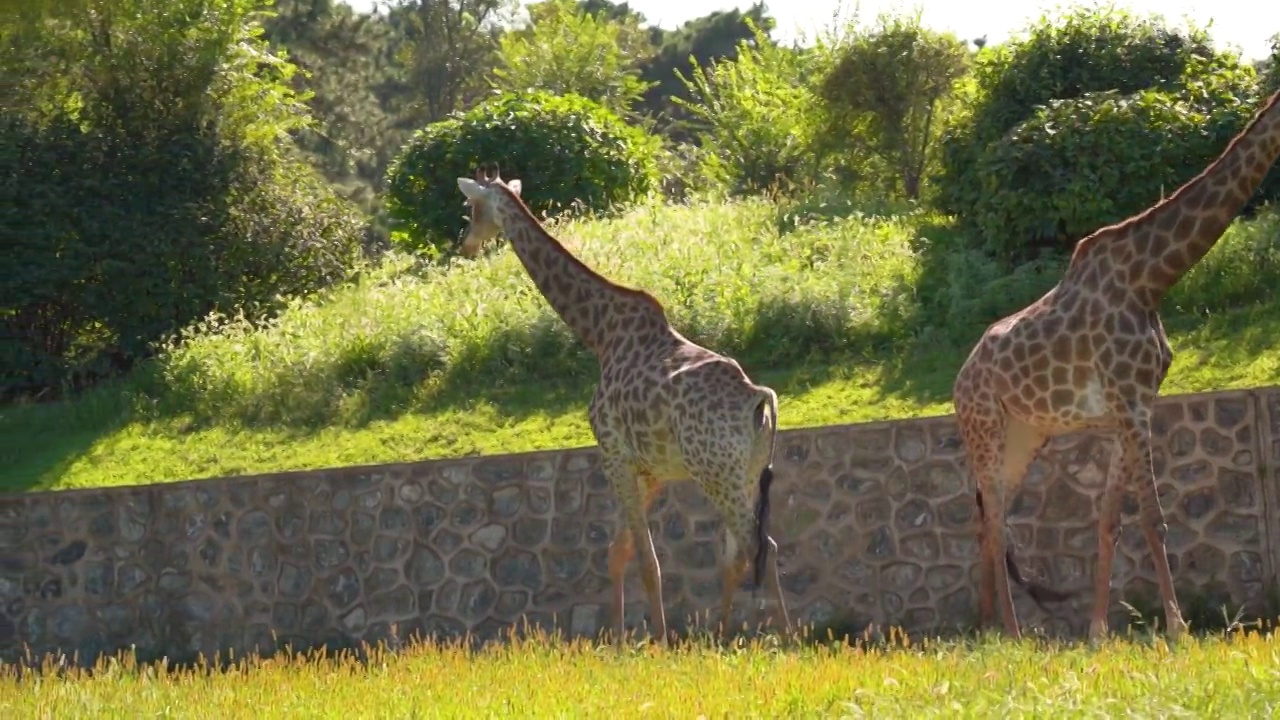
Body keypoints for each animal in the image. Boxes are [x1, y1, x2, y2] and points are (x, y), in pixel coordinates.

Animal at [450, 161, 788, 638]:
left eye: (472, 207)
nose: (466, 243)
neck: (599, 333)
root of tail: (760, 399)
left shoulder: (613, 454)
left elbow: (647, 560)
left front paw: (659, 641)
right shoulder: (652, 469)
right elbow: (618, 551)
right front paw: (619, 642)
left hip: (716, 473)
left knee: (760, 546)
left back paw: (786, 637)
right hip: (744, 473)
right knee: (740, 553)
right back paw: (725, 636)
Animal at [952, 87, 1280, 640]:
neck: (1151, 278)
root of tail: (957, 385)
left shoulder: (1129, 410)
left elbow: (1110, 522)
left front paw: (1098, 632)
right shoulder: (1131, 404)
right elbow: (1153, 518)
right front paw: (1177, 628)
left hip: (1024, 436)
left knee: (986, 521)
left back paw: (986, 628)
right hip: (985, 428)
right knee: (995, 522)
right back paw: (1012, 633)